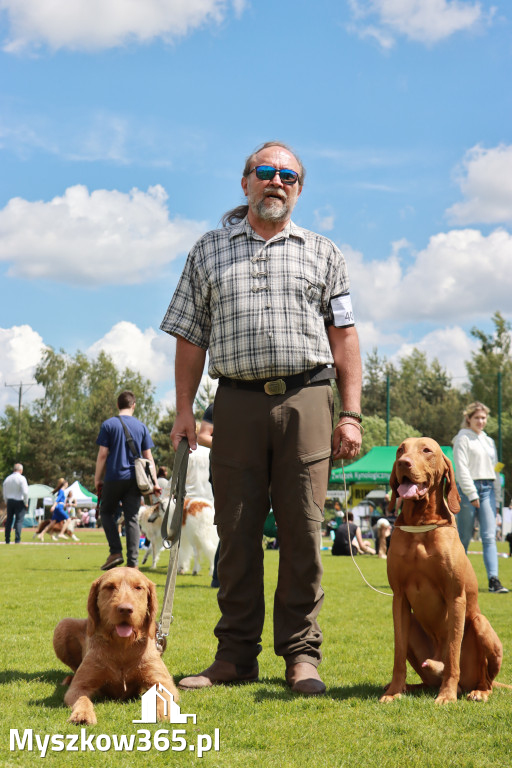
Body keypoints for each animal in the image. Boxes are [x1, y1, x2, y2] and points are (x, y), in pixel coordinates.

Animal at [53, 568, 178, 724]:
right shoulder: (79, 686)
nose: (125, 609)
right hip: (63, 626)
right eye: (110, 586)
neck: (122, 646)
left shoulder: (162, 681)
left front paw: (164, 713)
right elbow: (82, 699)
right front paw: (83, 714)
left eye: (138, 587)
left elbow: (165, 695)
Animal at [378, 438, 506, 704]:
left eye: (426, 450)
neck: (420, 523)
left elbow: (453, 652)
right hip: (413, 626)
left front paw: (447, 695)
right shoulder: (399, 599)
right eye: (400, 449)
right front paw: (394, 691)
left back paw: (477, 691)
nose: (403, 463)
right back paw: (408, 687)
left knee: (484, 678)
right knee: (426, 678)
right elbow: (398, 654)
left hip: (481, 625)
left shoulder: (455, 596)